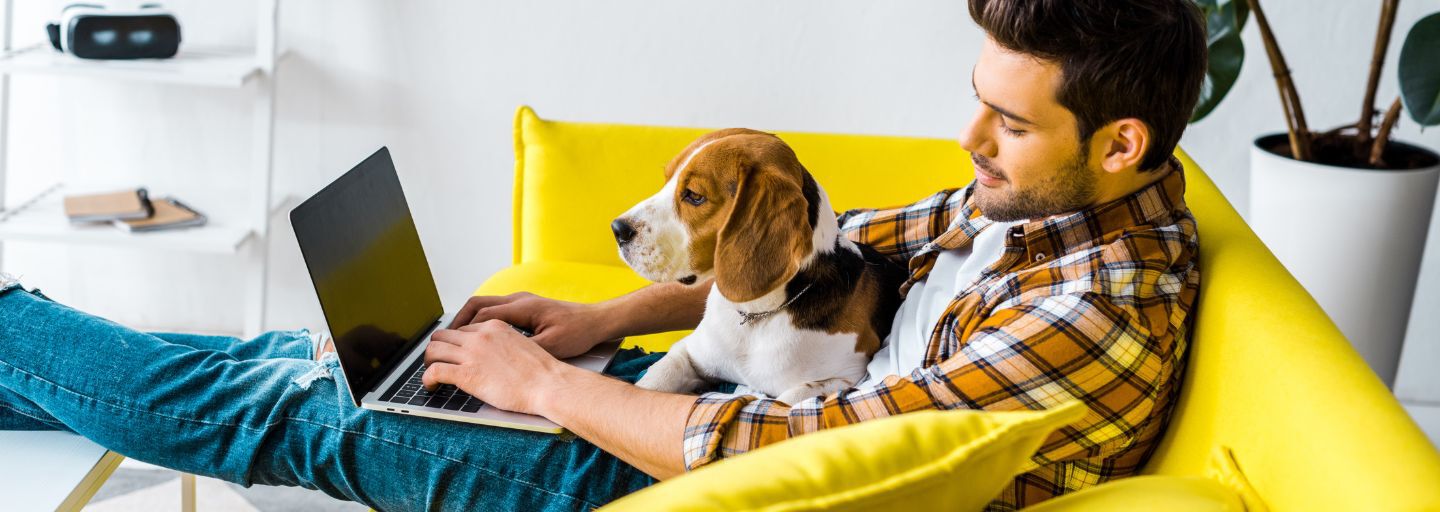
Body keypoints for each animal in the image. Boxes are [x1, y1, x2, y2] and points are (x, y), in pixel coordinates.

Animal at [613, 128, 904, 402]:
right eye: (667, 179)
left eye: (694, 196)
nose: (617, 229)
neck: (757, 314)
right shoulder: (690, 351)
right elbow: (655, 378)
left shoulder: (847, 376)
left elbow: (789, 398)